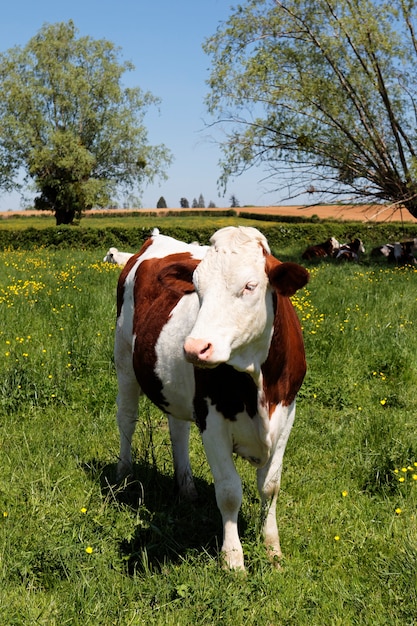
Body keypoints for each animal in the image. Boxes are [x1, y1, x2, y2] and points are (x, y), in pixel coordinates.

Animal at [114, 225, 308, 572]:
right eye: (197, 288)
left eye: (249, 286)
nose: (194, 347)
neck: (257, 380)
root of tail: (156, 238)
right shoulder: (212, 419)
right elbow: (229, 491)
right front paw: (233, 560)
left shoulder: (286, 413)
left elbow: (270, 486)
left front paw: (273, 551)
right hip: (123, 359)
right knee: (127, 419)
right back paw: (124, 473)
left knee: (177, 429)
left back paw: (187, 487)